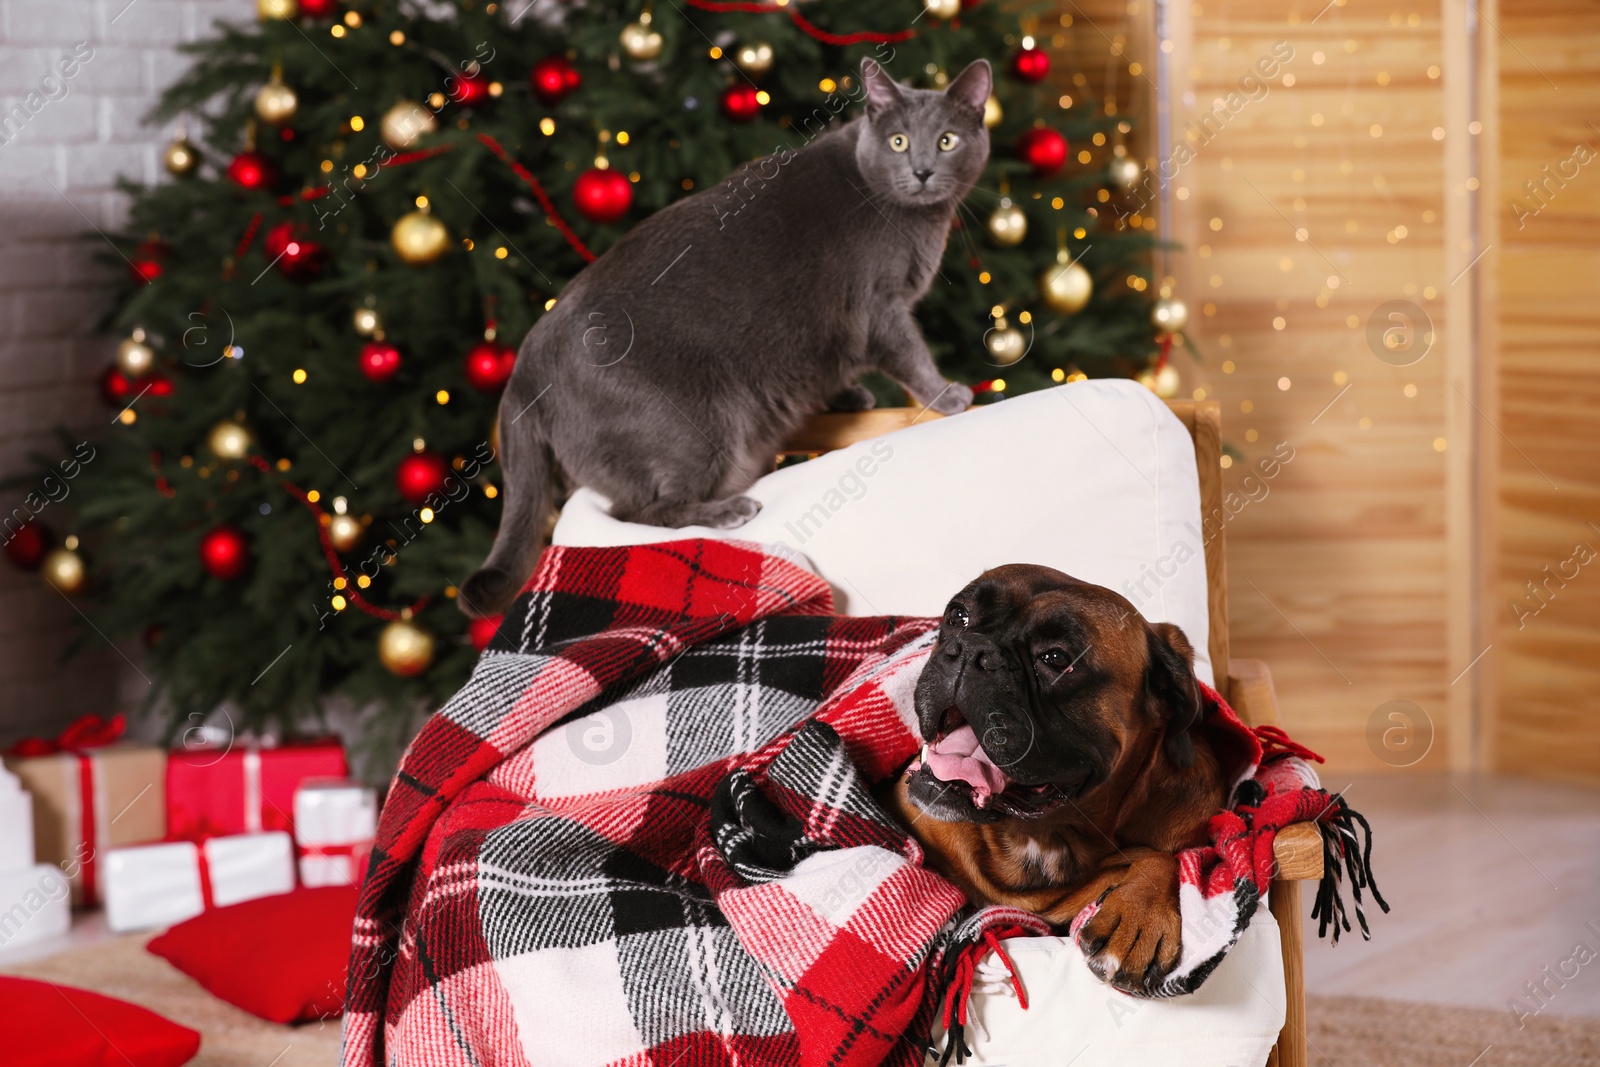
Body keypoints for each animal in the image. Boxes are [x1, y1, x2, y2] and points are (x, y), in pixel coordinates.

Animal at [457, 58, 992, 617]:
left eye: (948, 140)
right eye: (898, 141)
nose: (923, 170)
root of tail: (524, 367)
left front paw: (849, 396)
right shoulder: (878, 307)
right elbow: (908, 352)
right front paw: (947, 393)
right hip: (700, 429)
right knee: (635, 513)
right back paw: (727, 511)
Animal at [883, 563, 1228, 998]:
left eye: (1056, 659)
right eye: (957, 617)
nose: (970, 649)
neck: (1039, 836)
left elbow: (1163, 857)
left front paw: (1141, 914)